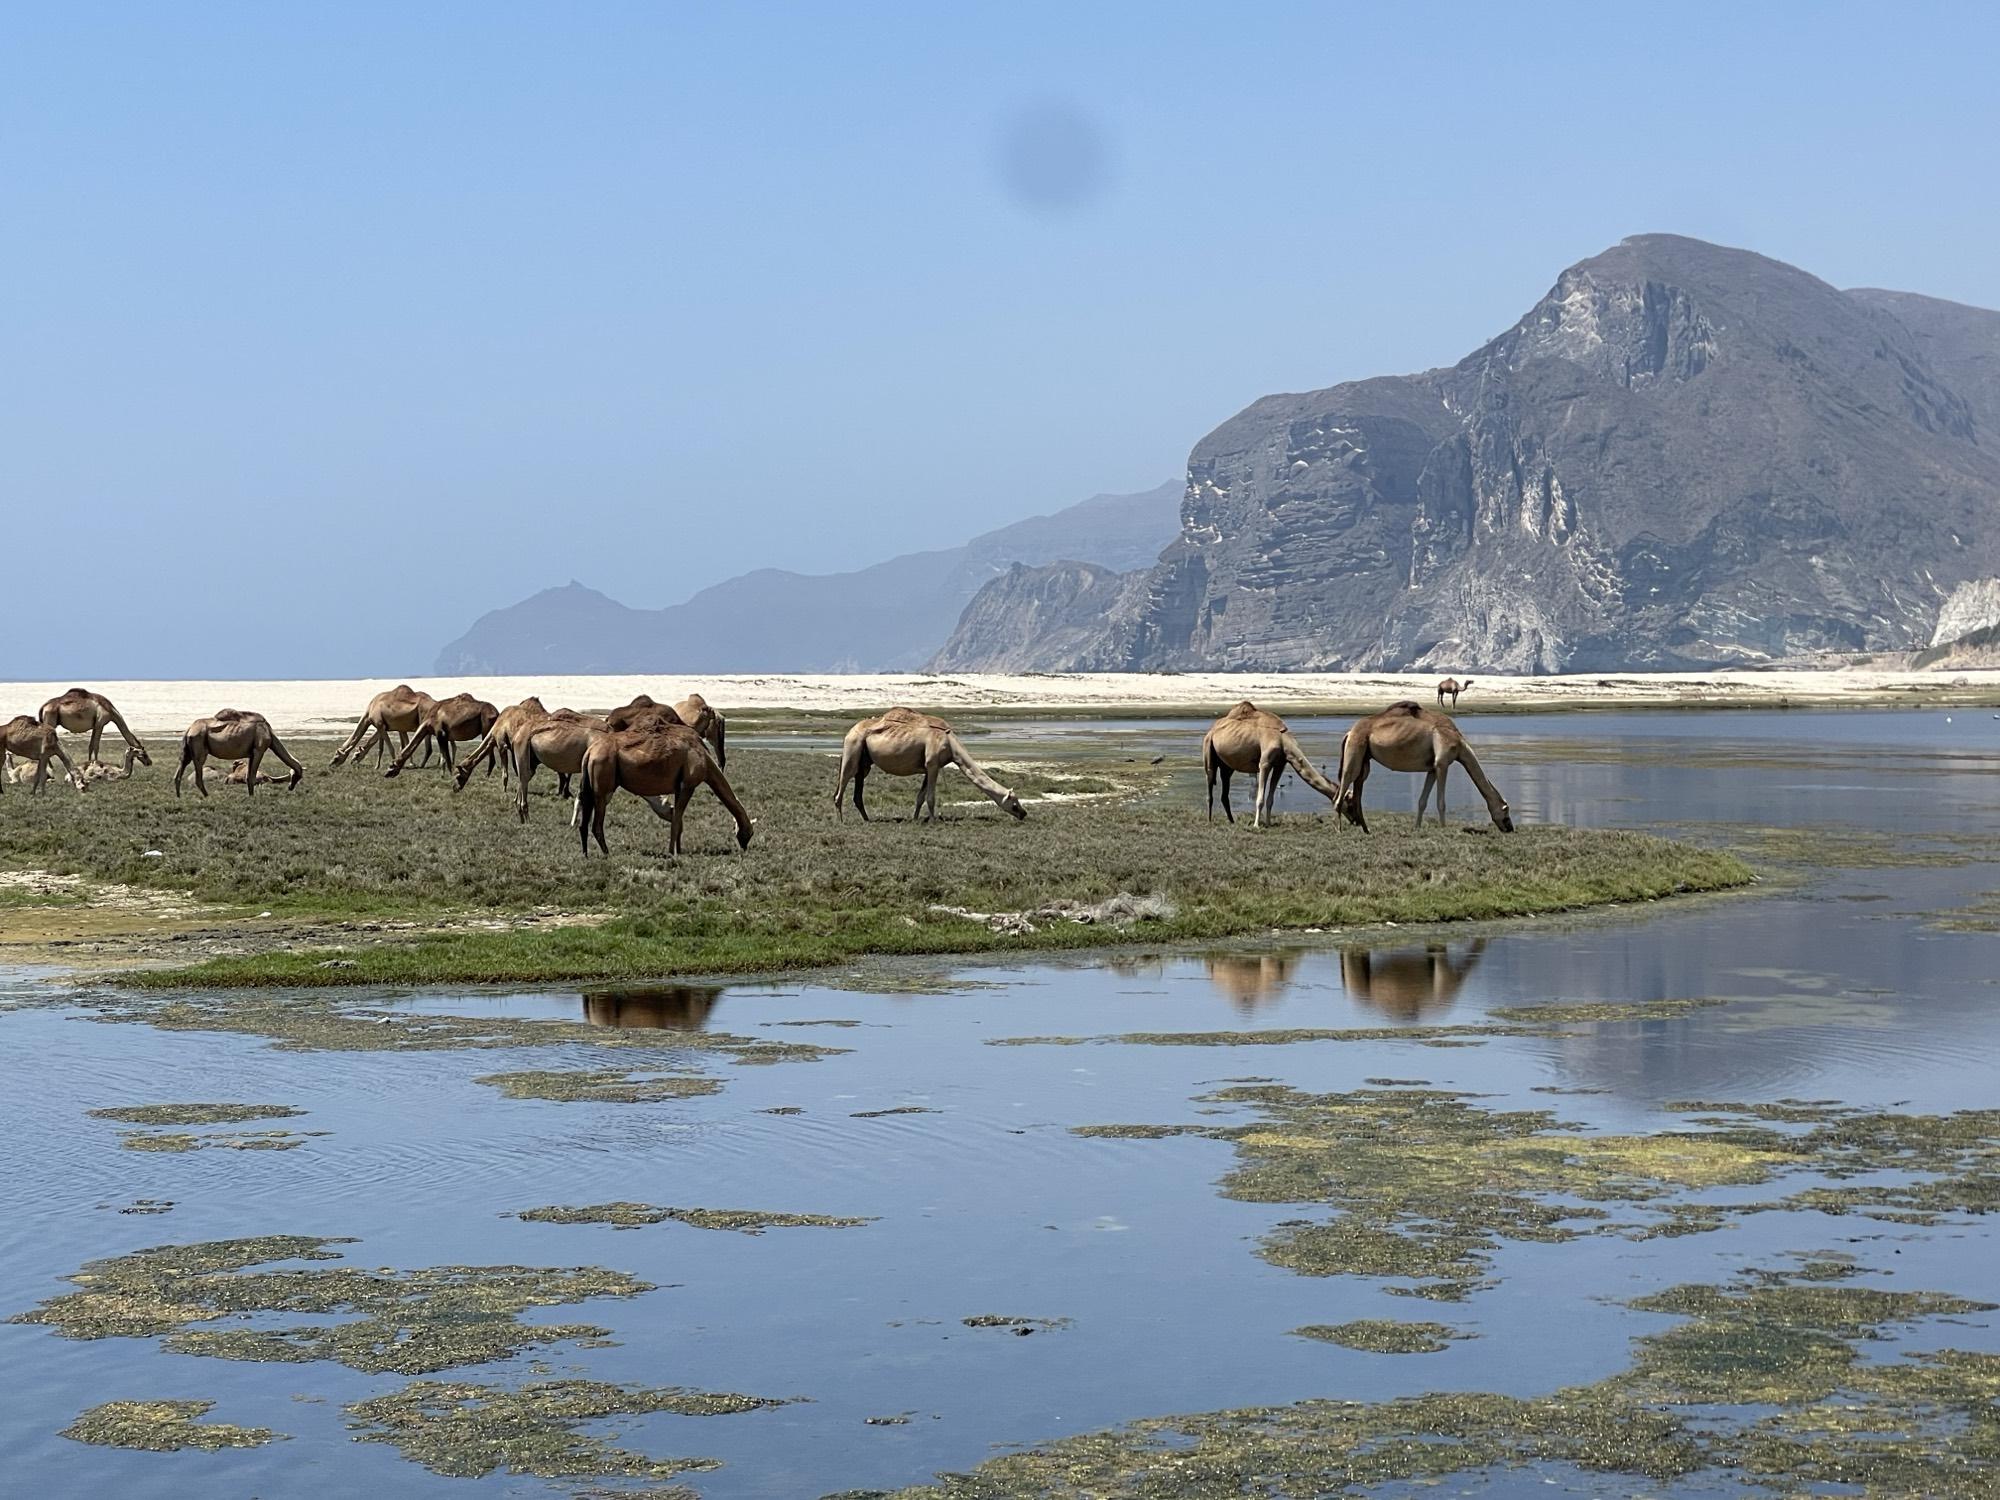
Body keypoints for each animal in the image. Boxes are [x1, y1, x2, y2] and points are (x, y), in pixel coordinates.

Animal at [174, 710, 305, 798]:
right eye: (297, 776)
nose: (290, 787)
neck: (270, 735)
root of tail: (189, 729)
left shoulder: (252, 754)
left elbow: (248, 776)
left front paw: (250, 796)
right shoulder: (259, 750)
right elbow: (251, 777)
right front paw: (252, 797)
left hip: (187, 751)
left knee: (179, 771)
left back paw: (179, 797)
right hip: (199, 748)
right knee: (198, 775)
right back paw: (207, 796)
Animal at [577, 718, 753, 857]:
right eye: (750, 832)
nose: (744, 848)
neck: (706, 762)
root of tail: (590, 752)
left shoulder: (678, 788)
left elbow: (678, 818)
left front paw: (679, 850)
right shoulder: (688, 785)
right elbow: (676, 819)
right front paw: (671, 852)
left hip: (591, 785)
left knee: (584, 821)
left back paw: (585, 854)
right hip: (603, 785)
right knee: (596, 824)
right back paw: (607, 854)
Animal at [833, 708, 1025, 823]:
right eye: (1014, 803)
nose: (1024, 813)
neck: (951, 745)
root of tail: (849, 732)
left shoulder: (930, 767)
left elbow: (920, 796)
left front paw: (915, 818)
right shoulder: (932, 763)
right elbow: (931, 797)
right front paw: (933, 820)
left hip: (864, 761)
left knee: (857, 791)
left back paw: (867, 819)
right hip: (853, 748)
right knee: (842, 785)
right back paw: (841, 820)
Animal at [1201, 701, 1341, 827]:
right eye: (1345, 802)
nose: (1343, 822)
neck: (1283, 740)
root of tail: (1212, 730)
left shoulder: (1280, 764)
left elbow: (1270, 799)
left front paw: (1268, 823)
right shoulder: (1265, 763)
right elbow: (1260, 799)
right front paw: (1256, 825)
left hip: (1227, 765)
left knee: (1225, 791)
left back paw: (1231, 821)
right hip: (1208, 749)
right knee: (1209, 781)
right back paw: (1209, 820)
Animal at [1334, 702, 1514, 832]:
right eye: (1506, 810)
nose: (1510, 828)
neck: (1460, 745)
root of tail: (1349, 733)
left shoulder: (1432, 768)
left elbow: (1422, 801)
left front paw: (1417, 828)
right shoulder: (1442, 763)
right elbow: (1441, 802)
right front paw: (1443, 829)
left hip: (1364, 760)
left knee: (1357, 790)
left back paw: (1366, 830)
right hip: (1355, 751)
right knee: (1341, 791)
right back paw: (1339, 830)